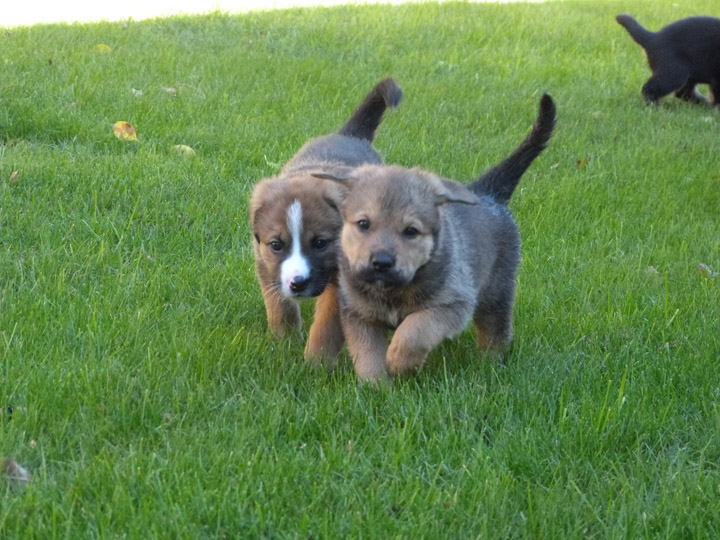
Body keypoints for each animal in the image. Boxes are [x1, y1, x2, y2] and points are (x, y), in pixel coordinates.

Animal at [250, 78, 402, 364]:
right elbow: (279, 305)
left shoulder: (341, 282)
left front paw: (316, 362)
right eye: (276, 245)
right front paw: (285, 341)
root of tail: (349, 135)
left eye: (321, 243)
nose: (297, 284)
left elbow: (326, 324)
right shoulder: (265, 264)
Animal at [316, 95, 556, 382]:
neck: (392, 292)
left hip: (497, 291)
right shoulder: (357, 313)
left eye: (411, 231)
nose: (381, 262)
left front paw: (400, 363)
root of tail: (487, 194)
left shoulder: (453, 303)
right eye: (364, 224)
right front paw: (376, 385)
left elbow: (414, 331)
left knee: (496, 331)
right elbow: (368, 354)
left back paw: (489, 365)